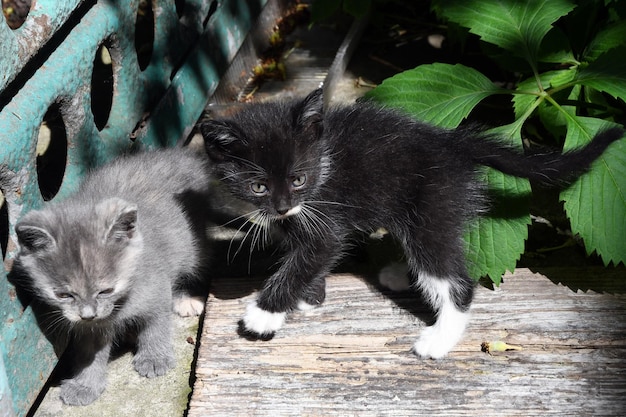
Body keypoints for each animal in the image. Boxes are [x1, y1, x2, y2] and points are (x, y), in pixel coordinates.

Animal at [12, 146, 211, 404]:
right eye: (64, 295)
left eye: (106, 290)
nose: (88, 314)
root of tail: (180, 155)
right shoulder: (87, 327)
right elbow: (89, 352)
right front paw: (85, 385)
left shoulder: (156, 287)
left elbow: (157, 324)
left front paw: (155, 357)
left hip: (191, 245)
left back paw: (186, 298)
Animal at [199, 89, 620, 360]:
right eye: (258, 187)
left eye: (299, 179)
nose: (284, 207)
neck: (322, 164)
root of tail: (453, 143)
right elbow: (306, 259)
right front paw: (310, 297)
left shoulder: (323, 219)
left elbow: (312, 254)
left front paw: (263, 315)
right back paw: (402, 274)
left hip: (432, 206)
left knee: (454, 278)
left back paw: (438, 341)